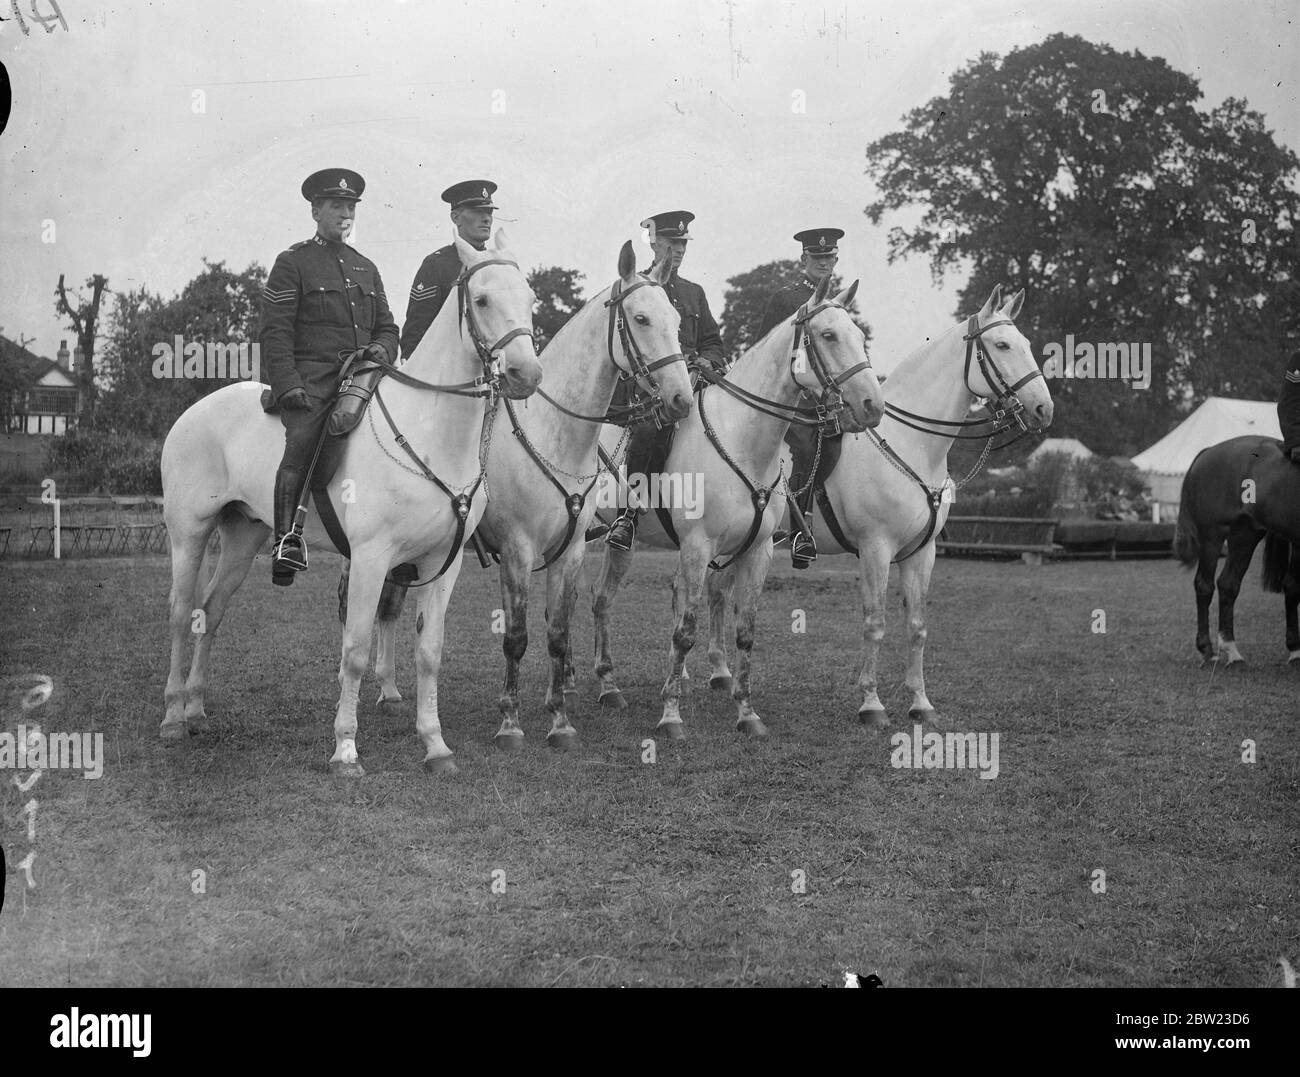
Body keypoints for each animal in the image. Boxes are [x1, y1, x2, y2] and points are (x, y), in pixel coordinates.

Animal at [162, 234, 543, 775]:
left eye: (531, 299)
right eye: (483, 299)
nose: (525, 374)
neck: (433, 435)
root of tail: (192, 413)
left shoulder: (442, 564)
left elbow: (430, 651)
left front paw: (435, 744)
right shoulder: (370, 558)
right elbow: (357, 649)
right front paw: (345, 749)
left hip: (243, 534)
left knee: (210, 611)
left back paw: (195, 709)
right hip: (189, 532)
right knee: (180, 613)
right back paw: (173, 717)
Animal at [361, 240, 696, 749]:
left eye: (676, 320)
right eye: (640, 318)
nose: (682, 398)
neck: (553, 432)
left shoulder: (571, 549)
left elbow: (557, 630)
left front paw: (560, 719)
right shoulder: (517, 549)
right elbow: (516, 636)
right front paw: (510, 722)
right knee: (386, 605)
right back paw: (386, 689)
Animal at [590, 273, 883, 738]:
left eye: (858, 334)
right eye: (829, 335)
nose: (873, 405)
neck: (743, 442)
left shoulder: (756, 551)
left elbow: (744, 631)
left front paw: (747, 713)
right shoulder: (697, 547)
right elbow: (685, 631)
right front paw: (671, 716)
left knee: (602, 599)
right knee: (599, 600)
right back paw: (604, 684)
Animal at [707, 282, 1050, 728]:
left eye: (1026, 344)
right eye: (1003, 344)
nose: (1044, 408)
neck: (911, 444)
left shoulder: (922, 553)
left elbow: (917, 625)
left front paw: (921, 702)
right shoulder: (876, 549)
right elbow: (875, 622)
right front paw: (871, 704)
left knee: (718, 593)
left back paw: (722, 675)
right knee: (716, 594)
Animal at [1175, 434, 1300, 660]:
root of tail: (1208, 451)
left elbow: (1293, 586)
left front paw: (1295, 649)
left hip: (1245, 535)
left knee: (1228, 584)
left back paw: (1232, 651)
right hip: (1213, 536)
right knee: (1204, 585)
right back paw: (1209, 649)